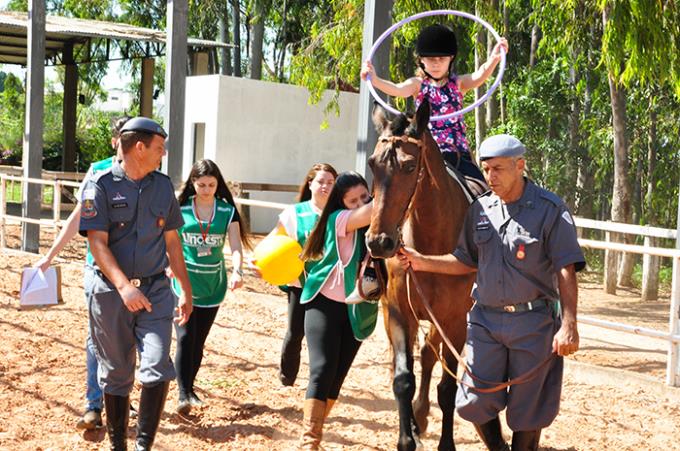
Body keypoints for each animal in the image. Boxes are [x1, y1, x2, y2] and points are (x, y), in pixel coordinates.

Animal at [366, 102, 472, 451]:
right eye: (372, 164)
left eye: (411, 166)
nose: (379, 242)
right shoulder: (399, 313)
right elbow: (402, 379)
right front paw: (405, 439)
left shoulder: (454, 321)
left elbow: (448, 388)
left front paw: (446, 444)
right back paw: (416, 418)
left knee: (428, 356)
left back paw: (422, 415)